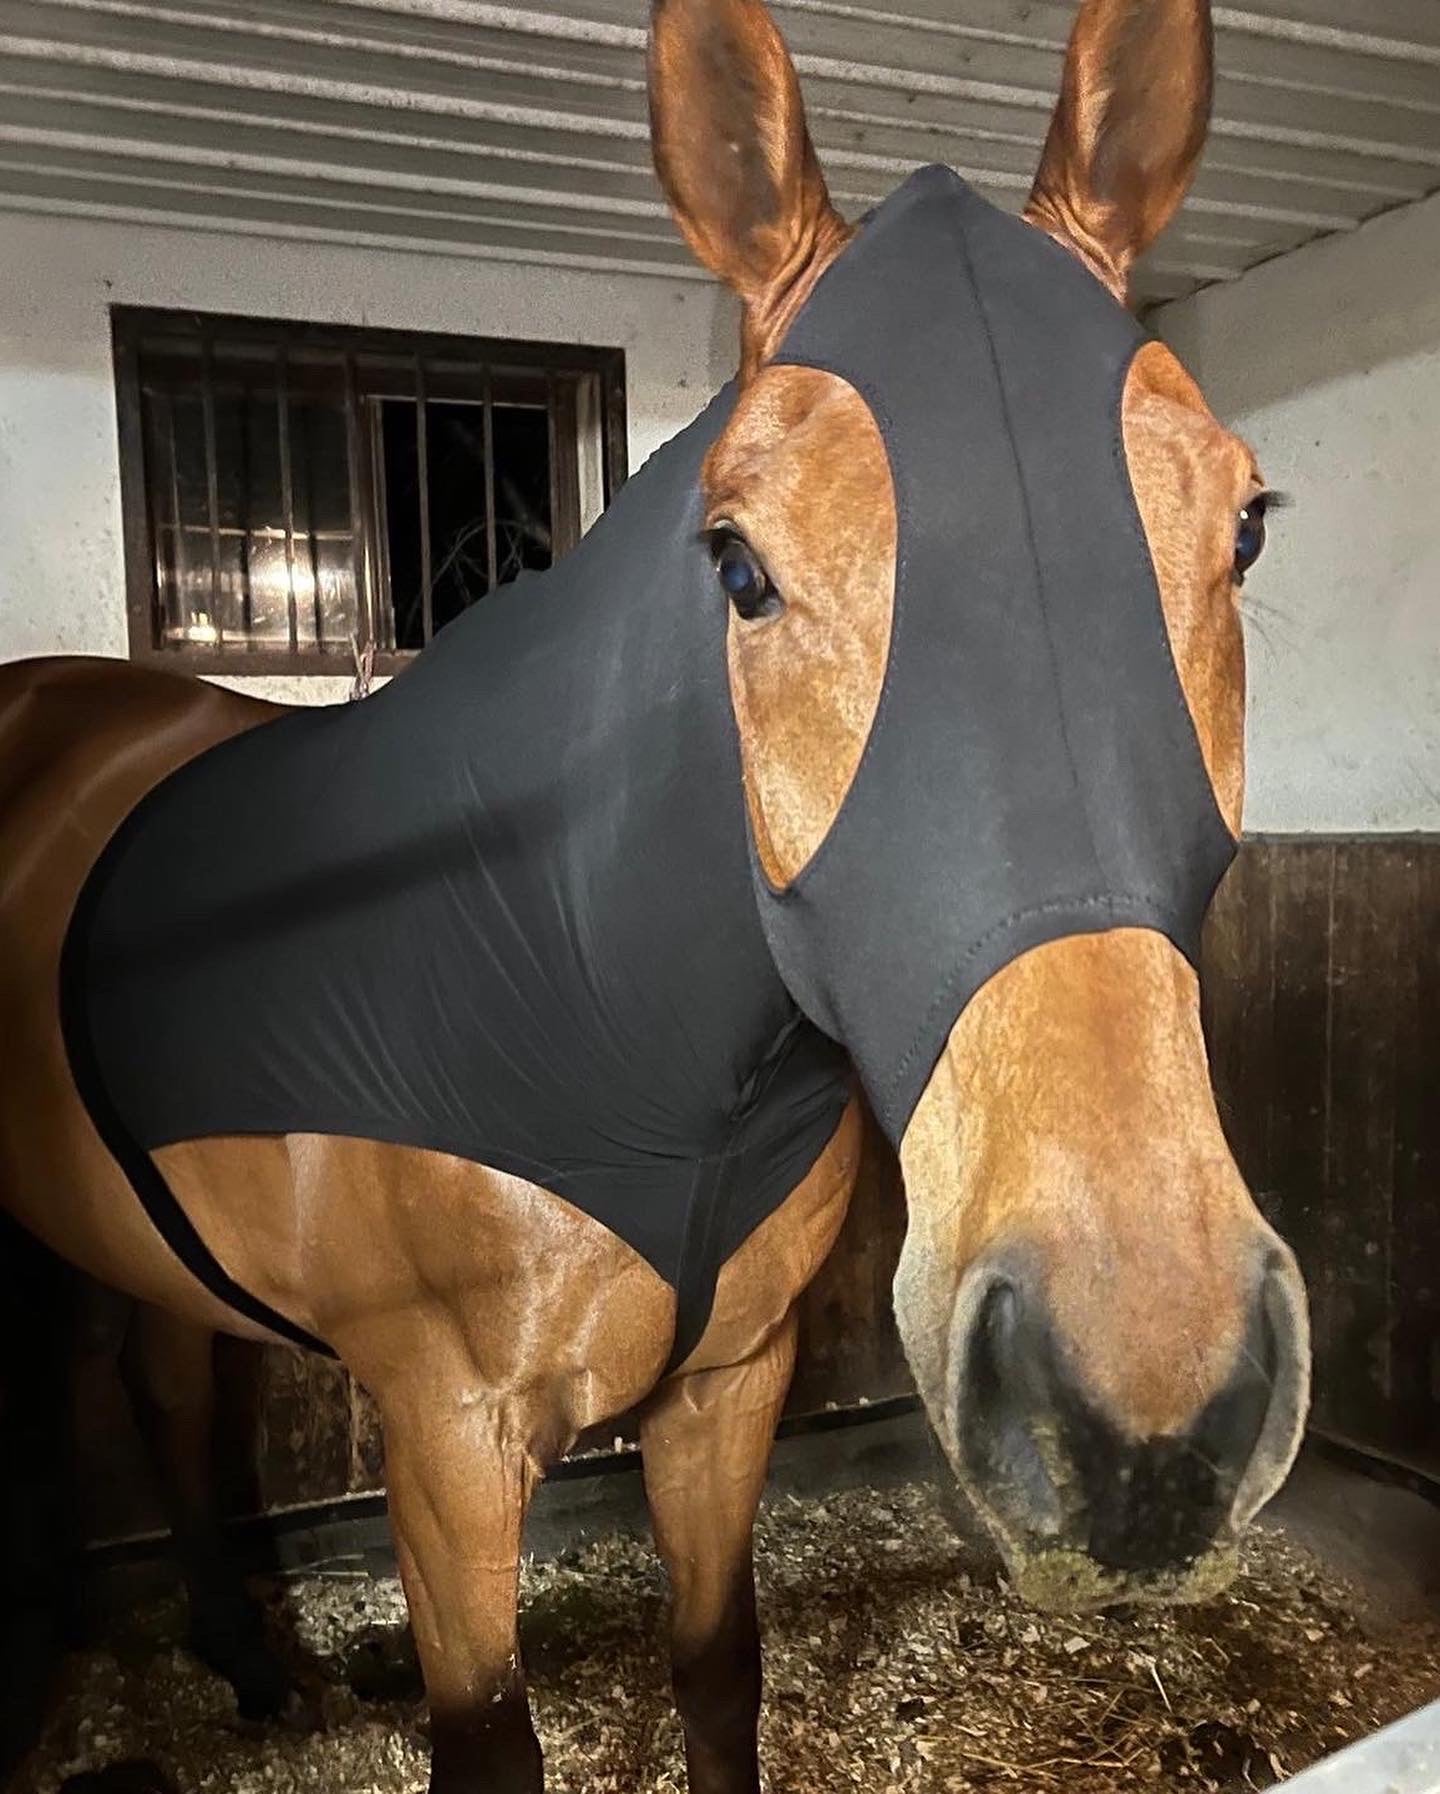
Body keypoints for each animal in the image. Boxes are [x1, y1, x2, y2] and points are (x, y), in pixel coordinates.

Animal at [0, 0, 1310, 1788]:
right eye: (738, 566)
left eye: (1243, 527)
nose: (1148, 1398)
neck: (591, 982)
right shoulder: (447, 1444)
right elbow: (491, 1740)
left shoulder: (727, 1390)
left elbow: (716, 1666)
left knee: (166, 1381)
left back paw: (250, 1660)